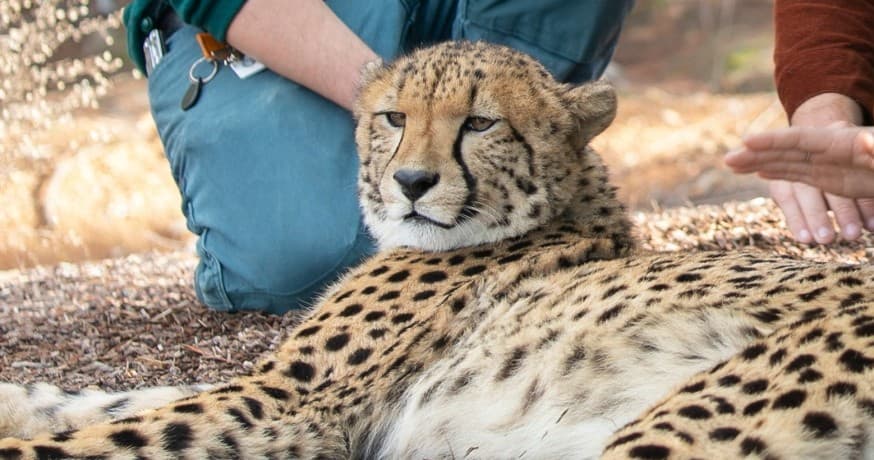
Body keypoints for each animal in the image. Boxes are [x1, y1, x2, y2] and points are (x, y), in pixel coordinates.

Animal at [2, 40, 874, 460]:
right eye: (393, 117)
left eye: (480, 123)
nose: (414, 182)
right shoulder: (273, 391)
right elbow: (115, 401)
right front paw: (21, 398)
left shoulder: (288, 409)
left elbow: (104, 435)